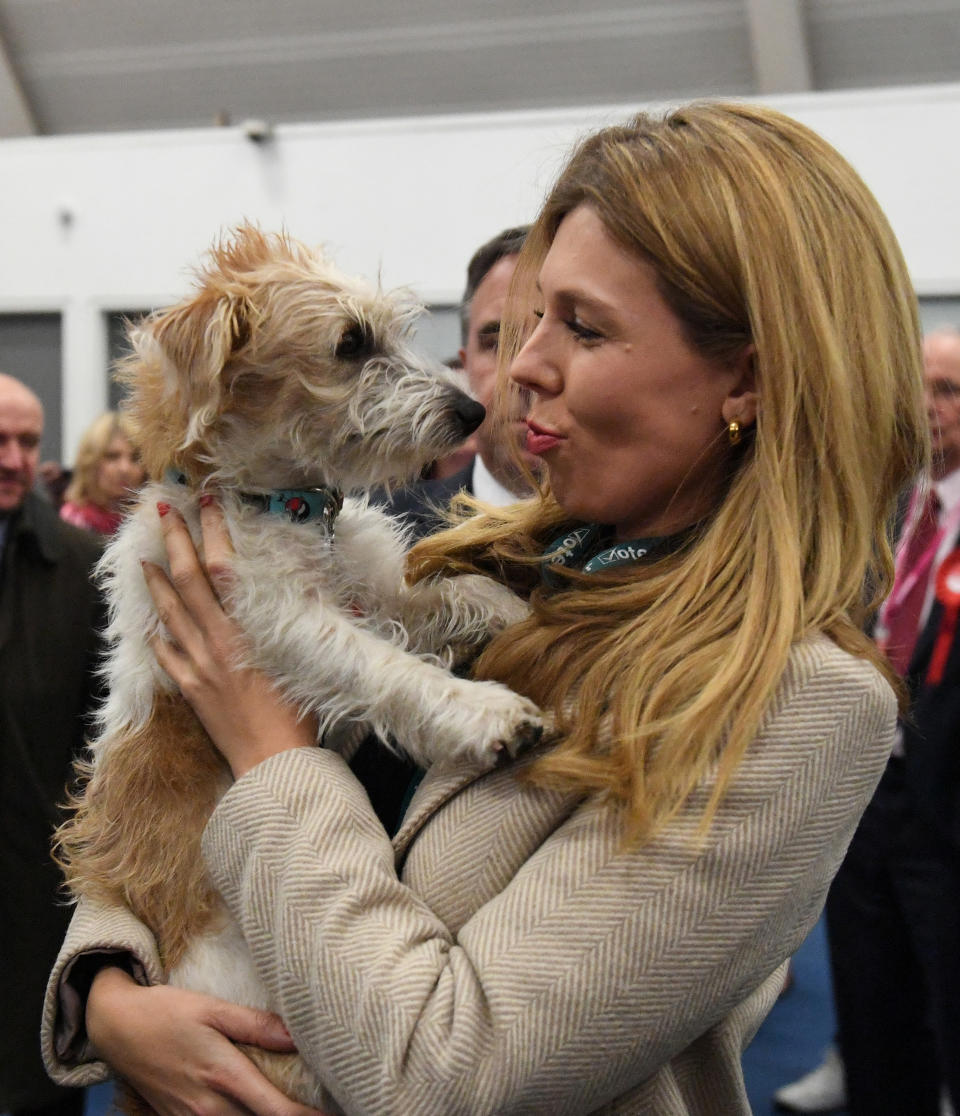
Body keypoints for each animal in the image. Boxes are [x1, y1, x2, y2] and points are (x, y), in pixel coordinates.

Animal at [58, 222, 540, 1111]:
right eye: (350, 344)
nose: (472, 410)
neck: (284, 506)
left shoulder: (380, 584)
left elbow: (467, 592)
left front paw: (545, 613)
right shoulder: (283, 623)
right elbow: (388, 667)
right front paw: (487, 712)